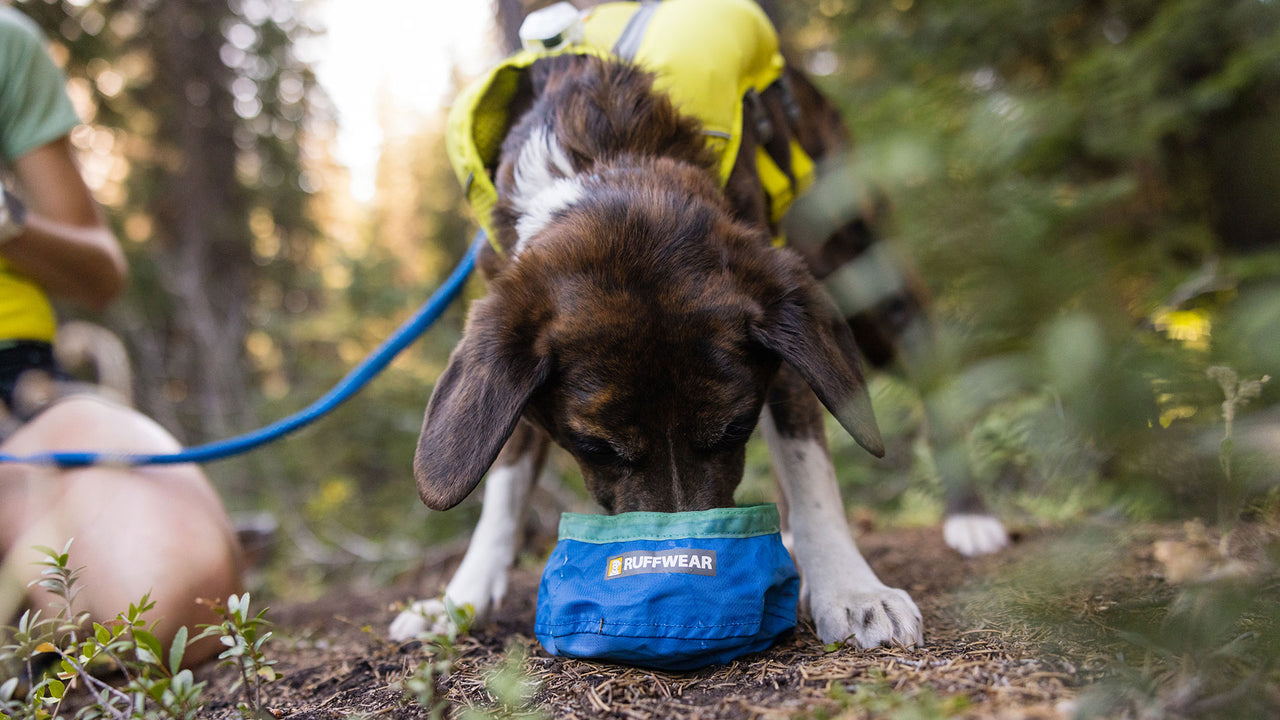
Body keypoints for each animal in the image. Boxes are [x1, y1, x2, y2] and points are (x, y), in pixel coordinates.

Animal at [389, 0, 998, 648]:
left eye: (735, 429)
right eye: (594, 446)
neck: (605, 157)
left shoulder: (783, 335)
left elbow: (809, 472)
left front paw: (852, 590)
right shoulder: (508, 348)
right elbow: (503, 484)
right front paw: (458, 601)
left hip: (868, 275)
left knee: (931, 381)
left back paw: (971, 515)